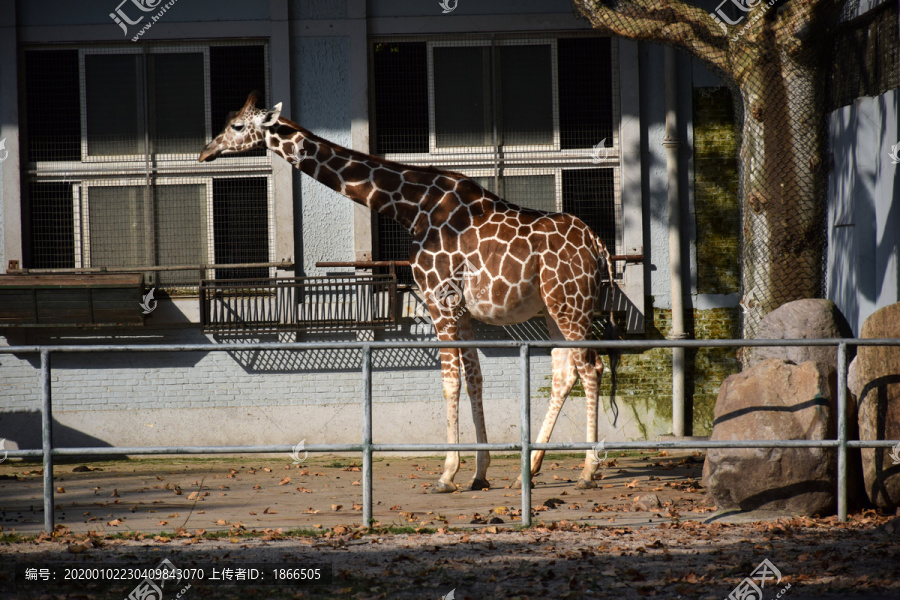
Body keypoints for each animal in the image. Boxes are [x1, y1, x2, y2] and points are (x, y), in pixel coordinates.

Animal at [200, 92, 616, 492]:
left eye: (237, 125)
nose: (206, 152)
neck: (411, 208)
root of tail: (598, 245)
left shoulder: (438, 300)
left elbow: (450, 383)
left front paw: (447, 474)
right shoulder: (461, 310)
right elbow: (474, 380)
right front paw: (479, 474)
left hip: (572, 304)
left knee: (590, 366)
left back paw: (588, 471)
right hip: (552, 308)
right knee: (565, 372)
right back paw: (526, 472)